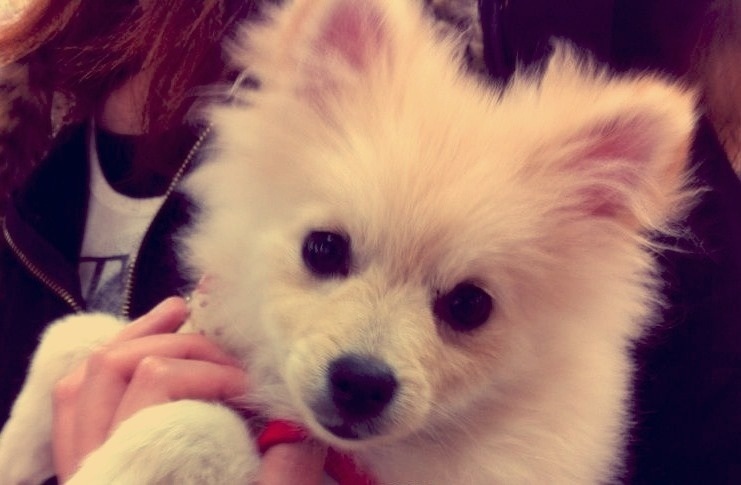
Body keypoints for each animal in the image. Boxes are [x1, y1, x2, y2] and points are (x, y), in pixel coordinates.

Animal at [0, 0, 697, 483]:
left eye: (469, 306)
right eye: (324, 248)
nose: (361, 383)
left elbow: (201, 427)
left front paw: (106, 464)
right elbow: (78, 335)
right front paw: (16, 450)